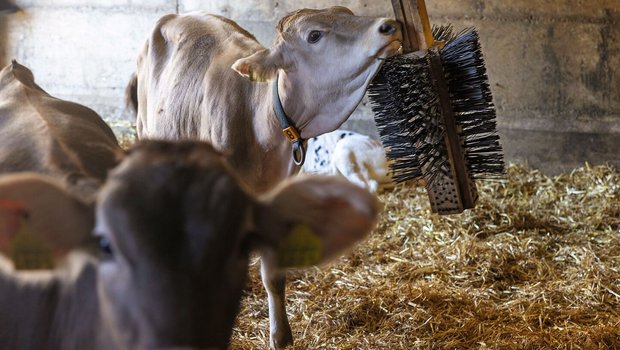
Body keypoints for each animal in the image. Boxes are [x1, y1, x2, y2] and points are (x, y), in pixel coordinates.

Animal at [130, 6, 402, 348]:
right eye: (314, 35)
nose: (389, 25)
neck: (261, 121)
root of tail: (171, 16)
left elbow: (273, 276)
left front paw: (280, 335)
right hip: (144, 129)